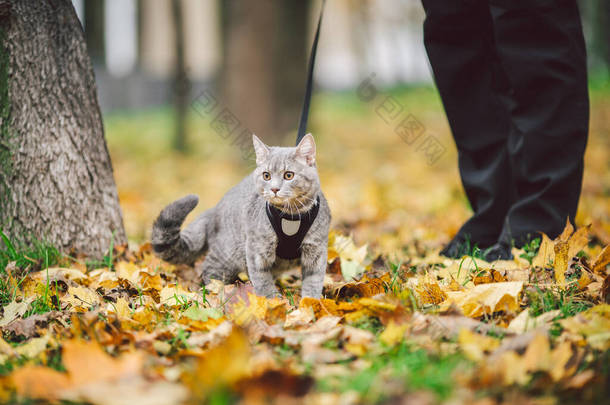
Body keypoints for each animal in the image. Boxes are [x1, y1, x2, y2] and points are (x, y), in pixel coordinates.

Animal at [151, 134, 330, 298]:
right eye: (266, 175)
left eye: (289, 175)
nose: (274, 189)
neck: (291, 216)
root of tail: (214, 209)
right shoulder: (257, 249)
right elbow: (263, 280)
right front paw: (273, 302)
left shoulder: (316, 250)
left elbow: (313, 281)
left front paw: (310, 303)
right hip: (228, 253)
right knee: (209, 269)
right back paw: (217, 290)